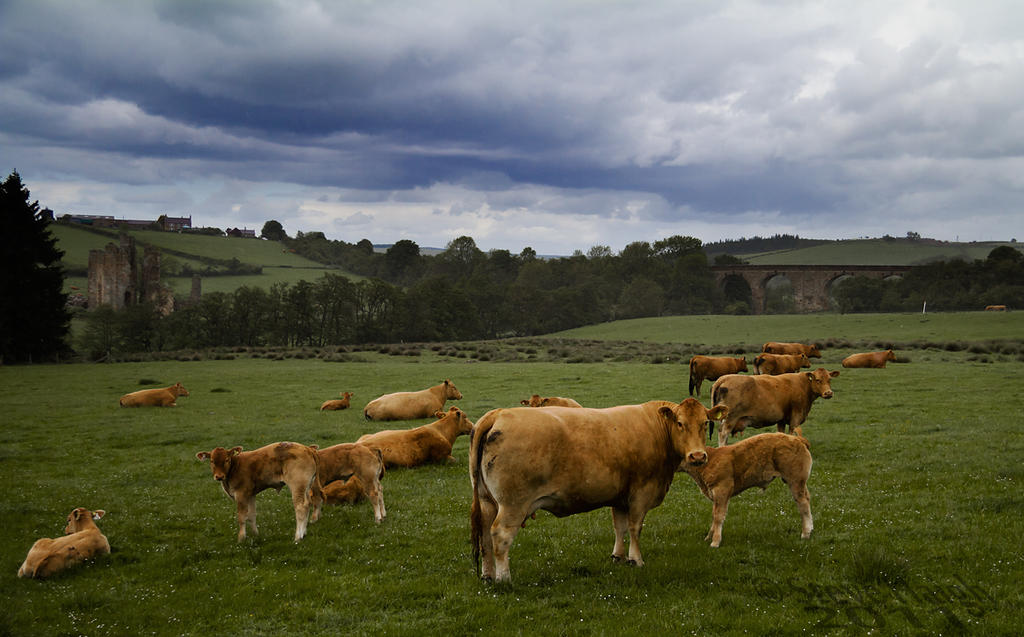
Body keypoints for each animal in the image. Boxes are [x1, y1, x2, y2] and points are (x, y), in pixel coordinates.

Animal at [471, 399, 729, 585]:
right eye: (680, 424)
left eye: (705, 423)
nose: (698, 456)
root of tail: (499, 413)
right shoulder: (641, 493)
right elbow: (635, 527)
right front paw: (636, 559)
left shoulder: (620, 497)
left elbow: (620, 527)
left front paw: (619, 556)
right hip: (513, 504)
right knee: (500, 535)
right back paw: (504, 578)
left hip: (487, 501)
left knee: (484, 535)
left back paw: (488, 575)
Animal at [679, 434, 815, 548]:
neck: (709, 460)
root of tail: (797, 439)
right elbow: (714, 515)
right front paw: (708, 537)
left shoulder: (722, 490)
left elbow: (718, 516)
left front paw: (715, 542)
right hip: (800, 483)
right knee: (807, 498)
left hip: (795, 481)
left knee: (802, 503)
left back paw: (805, 533)